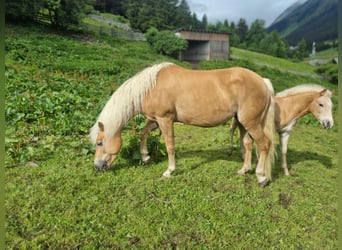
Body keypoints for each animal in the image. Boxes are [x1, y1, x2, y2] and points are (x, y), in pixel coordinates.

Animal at [89, 62, 276, 187]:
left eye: (100, 143)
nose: (97, 167)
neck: (151, 87)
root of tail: (263, 81)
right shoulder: (155, 120)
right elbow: (143, 133)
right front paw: (146, 157)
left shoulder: (165, 119)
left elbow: (170, 146)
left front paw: (169, 171)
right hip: (243, 123)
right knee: (248, 144)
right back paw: (244, 170)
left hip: (250, 123)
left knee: (264, 144)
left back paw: (261, 177)